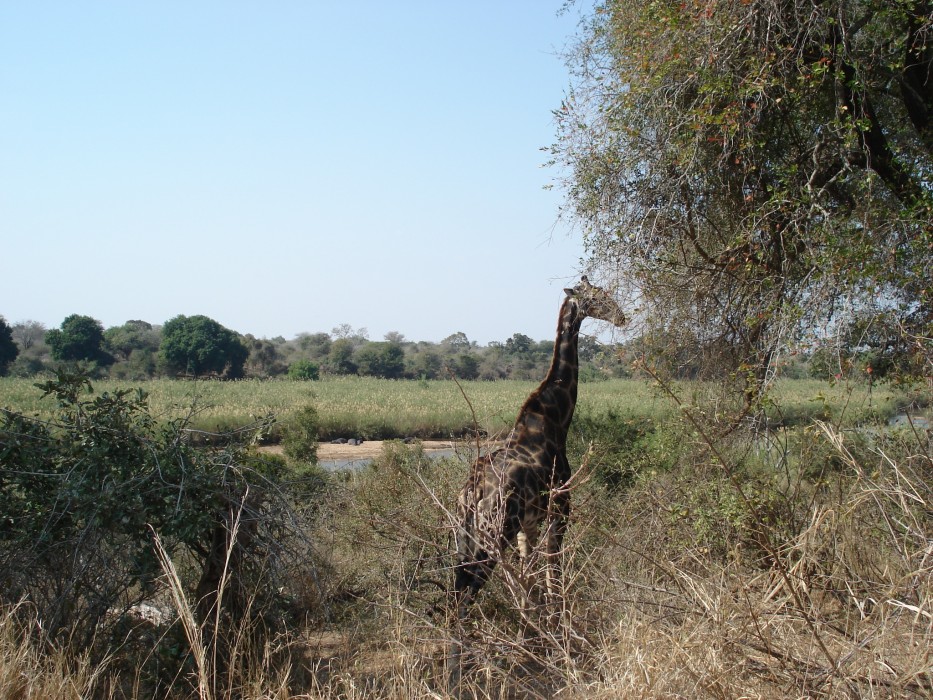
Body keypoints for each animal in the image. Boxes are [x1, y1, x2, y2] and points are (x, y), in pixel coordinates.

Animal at [452, 276, 628, 616]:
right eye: (597, 298)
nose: (621, 317)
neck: (557, 417)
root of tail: (472, 492)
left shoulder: (528, 525)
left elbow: (530, 580)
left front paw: (537, 620)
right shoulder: (560, 507)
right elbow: (552, 573)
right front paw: (558, 620)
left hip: (466, 536)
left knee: (458, 588)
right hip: (494, 535)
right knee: (468, 592)